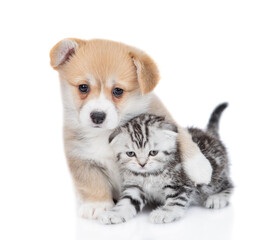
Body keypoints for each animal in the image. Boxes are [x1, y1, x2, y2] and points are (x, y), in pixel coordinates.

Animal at [50, 38, 213, 219]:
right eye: (83, 87)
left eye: (118, 91)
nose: (97, 116)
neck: (105, 133)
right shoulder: (79, 158)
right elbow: (92, 182)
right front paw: (97, 205)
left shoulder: (163, 118)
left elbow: (182, 136)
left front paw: (200, 167)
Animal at [98, 103, 234, 225]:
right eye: (131, 153)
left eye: (153, 152)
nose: (142, 164)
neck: (148, 174)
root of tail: (210, 134)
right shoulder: (135, 187)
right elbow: (127, 201)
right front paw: (114, 213)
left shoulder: (181, 184)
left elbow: (175, 200)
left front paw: (164, 213)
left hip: (212, 178)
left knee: (228, 184)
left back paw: (218, 198)